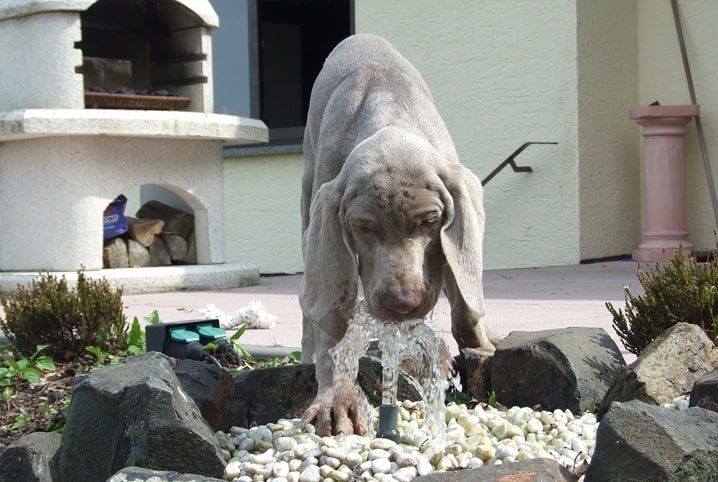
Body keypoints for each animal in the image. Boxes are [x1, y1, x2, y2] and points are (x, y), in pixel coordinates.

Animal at [300, 34, 498, 436]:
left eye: (431, 221)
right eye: (361, 227)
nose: (401, 303)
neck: (386, 114)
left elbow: (463, 295)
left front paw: (480, 343)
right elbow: (333, 320)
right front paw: (336, 398)